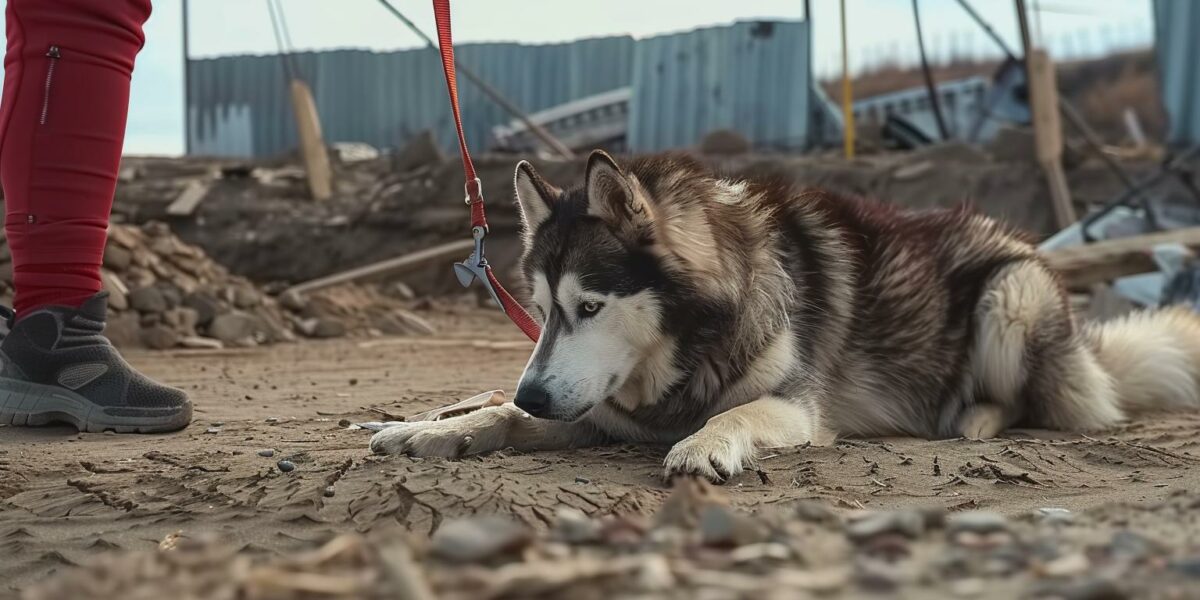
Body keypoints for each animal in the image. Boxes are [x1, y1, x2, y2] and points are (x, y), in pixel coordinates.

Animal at [369, 150, 1200, 482]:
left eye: (590, 306)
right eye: (541, 312)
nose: (535, 391)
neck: (691, 349)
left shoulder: (797, 407)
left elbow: (735, 414)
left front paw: (706, 445)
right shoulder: (602, 413)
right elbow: (497, 419)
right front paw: (433, 431)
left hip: (1010, 298)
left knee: (1040, 404)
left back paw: (973, 418)